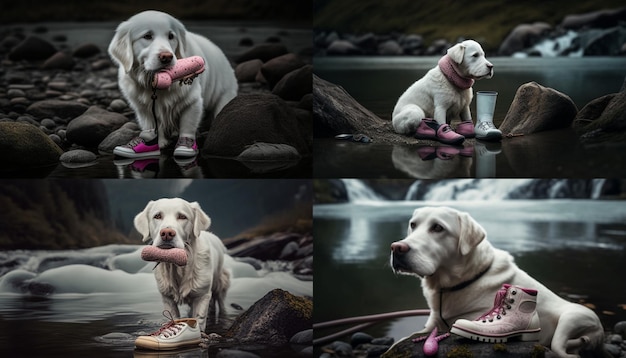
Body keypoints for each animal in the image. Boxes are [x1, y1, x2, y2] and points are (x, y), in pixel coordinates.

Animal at [107, 10, 236, 157]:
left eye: (171, 36)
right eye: (147, 36)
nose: (167, 57)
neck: (156, 84)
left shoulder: (192, 102)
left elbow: (187, 124)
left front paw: (185, 146)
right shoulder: (144, 109)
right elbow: (152, 126)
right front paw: (158, 143)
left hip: (225, 96)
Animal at [134, 199, 229, 330]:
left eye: (182, 217)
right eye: (157, 216)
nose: (167, 233)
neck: (177, 268)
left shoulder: (202, 295)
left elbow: (199, 319)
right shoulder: (167, 298)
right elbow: (174, 317)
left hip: (220, 283)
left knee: (221, 302)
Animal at [390, 207, 604, 358]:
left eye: (437, 227)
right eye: (413, 225)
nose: (396, 248)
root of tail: (599, 334)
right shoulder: (432, 323)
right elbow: (400, 341)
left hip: (572, 319)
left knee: (560, 349)